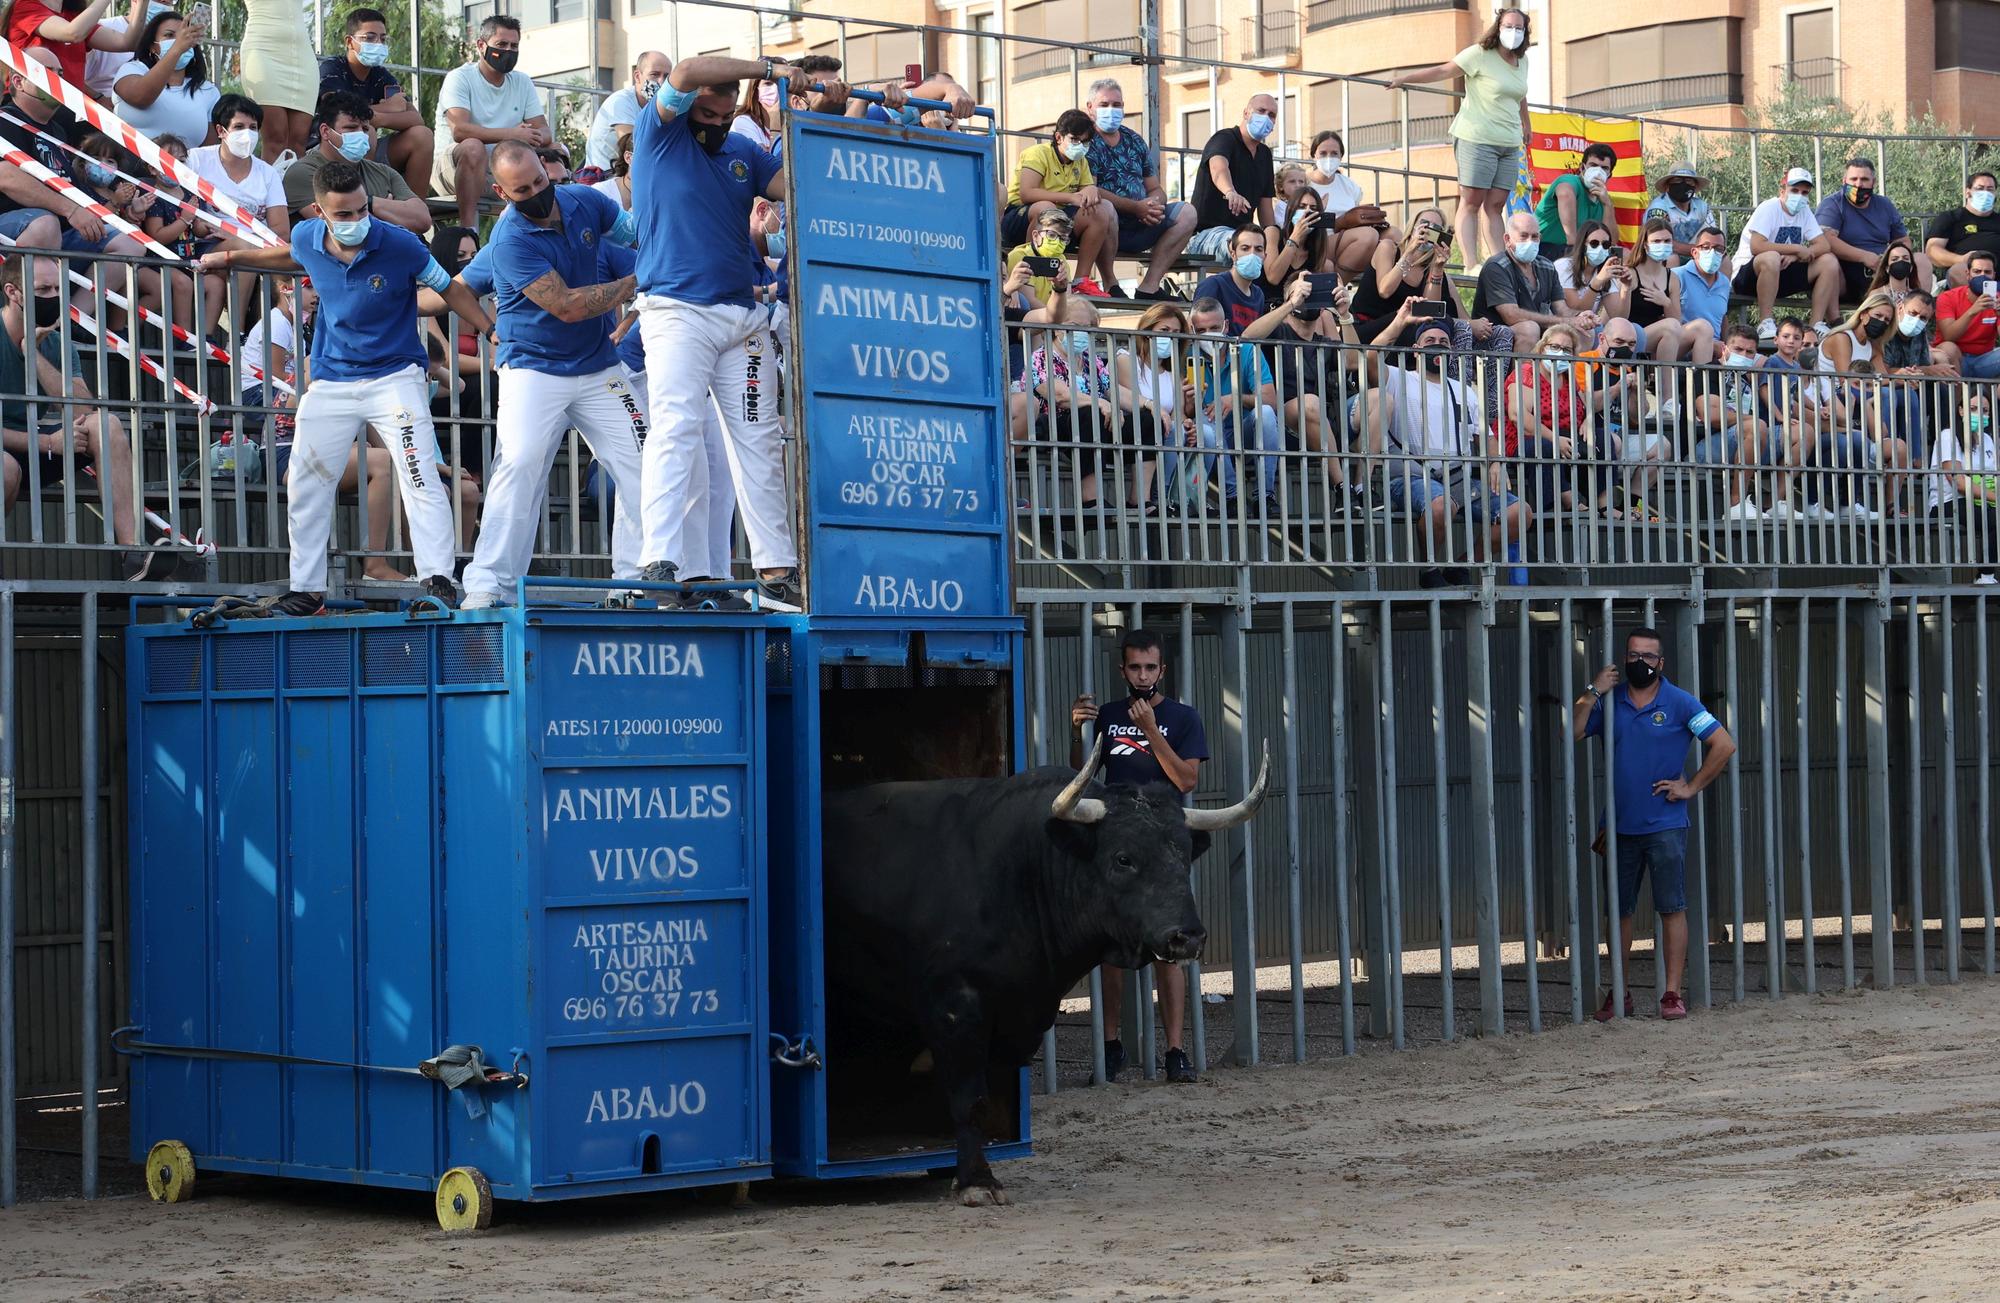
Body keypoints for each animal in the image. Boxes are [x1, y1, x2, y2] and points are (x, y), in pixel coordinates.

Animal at [816, 739, 1264, 1207]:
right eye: (1123, 858)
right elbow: (970, 1097)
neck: (1020, 869)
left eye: (1183, 855)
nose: (1187, 936)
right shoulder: (954, 1007)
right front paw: (977, 1181)